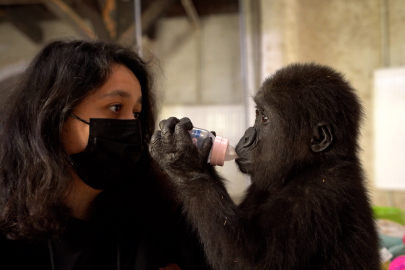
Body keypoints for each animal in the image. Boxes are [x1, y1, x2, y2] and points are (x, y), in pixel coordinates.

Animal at [150, 63, 380, 270]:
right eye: (256, 114)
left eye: (265, 117)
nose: (245, 136)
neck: (308, 166)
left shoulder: (319, 193)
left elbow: (251, 262)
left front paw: (182, 161)